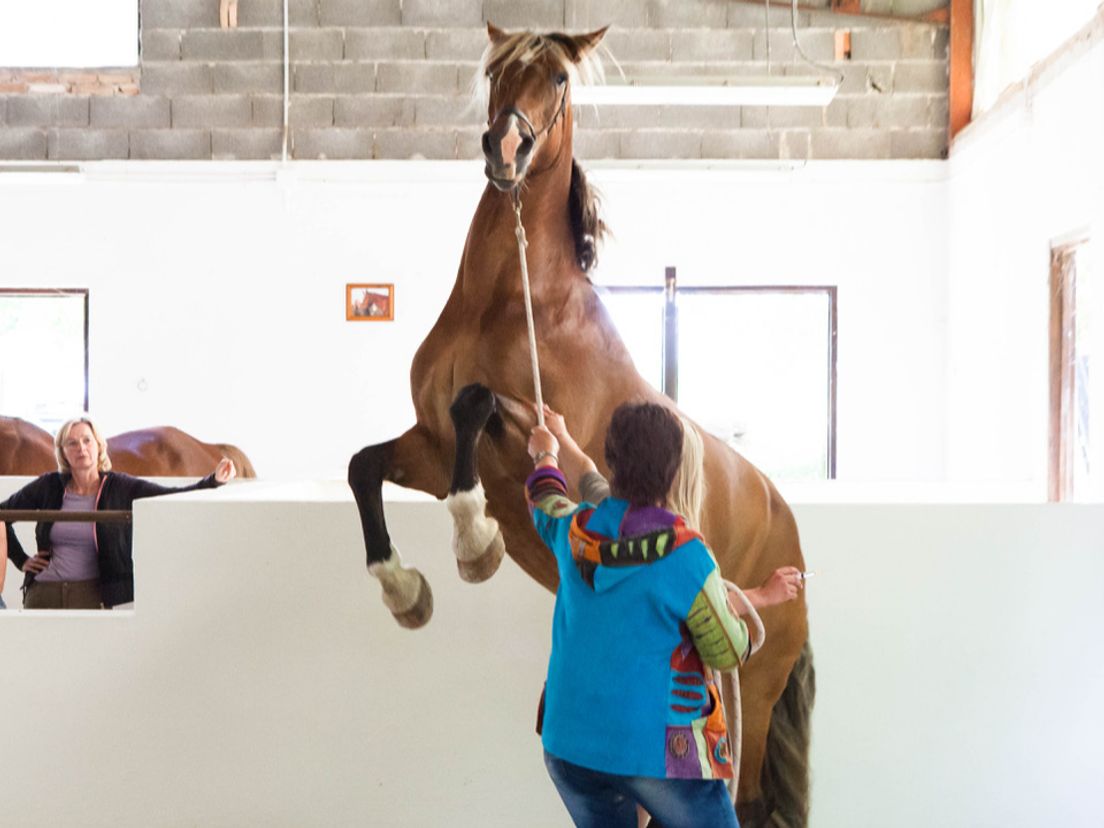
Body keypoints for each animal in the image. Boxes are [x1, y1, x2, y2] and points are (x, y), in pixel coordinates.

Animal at [348, 25, 816, 828]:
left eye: (560, 78)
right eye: (496, 72)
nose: (505, 148)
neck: (511, 302)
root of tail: (787, 525)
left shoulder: (512, 434)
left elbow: (477, 404)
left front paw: (475, 539)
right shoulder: (431, 449)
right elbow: (364, 465)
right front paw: (403, 589)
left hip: (755, 689)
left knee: (750, 796)